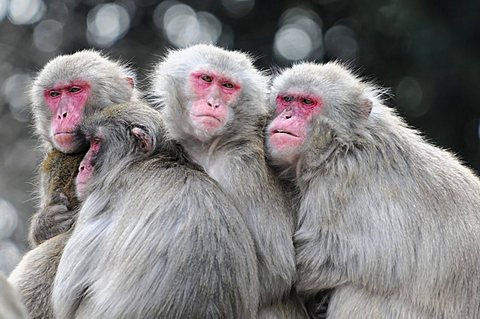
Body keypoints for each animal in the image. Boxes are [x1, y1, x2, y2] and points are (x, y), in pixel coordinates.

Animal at [151, 44, 308, 318]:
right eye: (206, 79)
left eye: (227, 86)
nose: (213, 102)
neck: (210, 148)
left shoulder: (240, 169)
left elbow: (275, 269)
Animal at [264, 61, 480, 318]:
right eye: (286, 99)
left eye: (307, 102)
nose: (286, 116)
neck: (343, 145)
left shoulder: (340, 181)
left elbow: (322, 257)